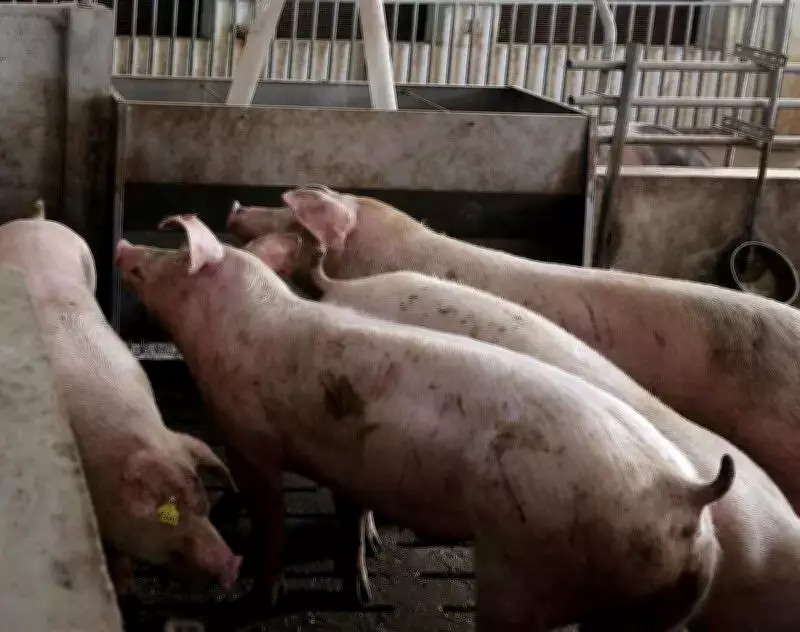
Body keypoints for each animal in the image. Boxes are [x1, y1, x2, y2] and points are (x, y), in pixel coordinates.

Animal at [0, 213, 241, 593]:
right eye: (170, 514)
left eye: (204, 504)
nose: (233, 565)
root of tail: (34, 220)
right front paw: (124, 589)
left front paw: (127, 585)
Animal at [115, 214, 736, 632]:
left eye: (171, 257)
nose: (124, 244)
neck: (237, 325)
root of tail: (683, 491)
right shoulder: (346, 455)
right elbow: (348, 519)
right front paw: (357, 594)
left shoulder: (250, 438)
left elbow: (271, 523)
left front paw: (259, 601)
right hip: (668, 600)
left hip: (527, 574)